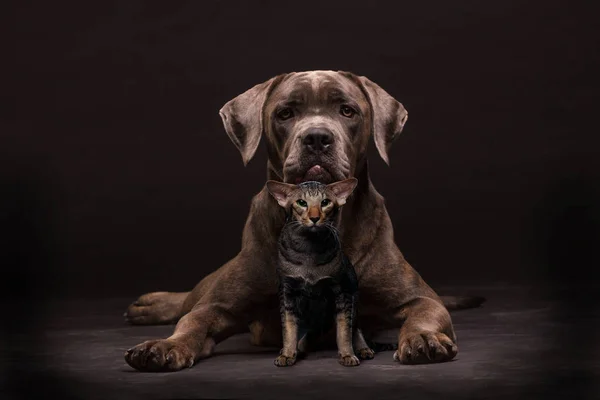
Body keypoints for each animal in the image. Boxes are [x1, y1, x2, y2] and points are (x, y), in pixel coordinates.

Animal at [266, 180, 376, 368]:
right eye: (301, 203)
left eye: (325, 202)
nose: (315, 218)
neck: (309, 251)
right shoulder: (286, 290)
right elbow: (288, 326)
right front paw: (287, 354)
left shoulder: (342, 290)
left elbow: (344, 329)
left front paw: (347, 354)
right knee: (314, 331)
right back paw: (298, 348)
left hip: (353, 294)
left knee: (355, 326)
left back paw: (363, 348)